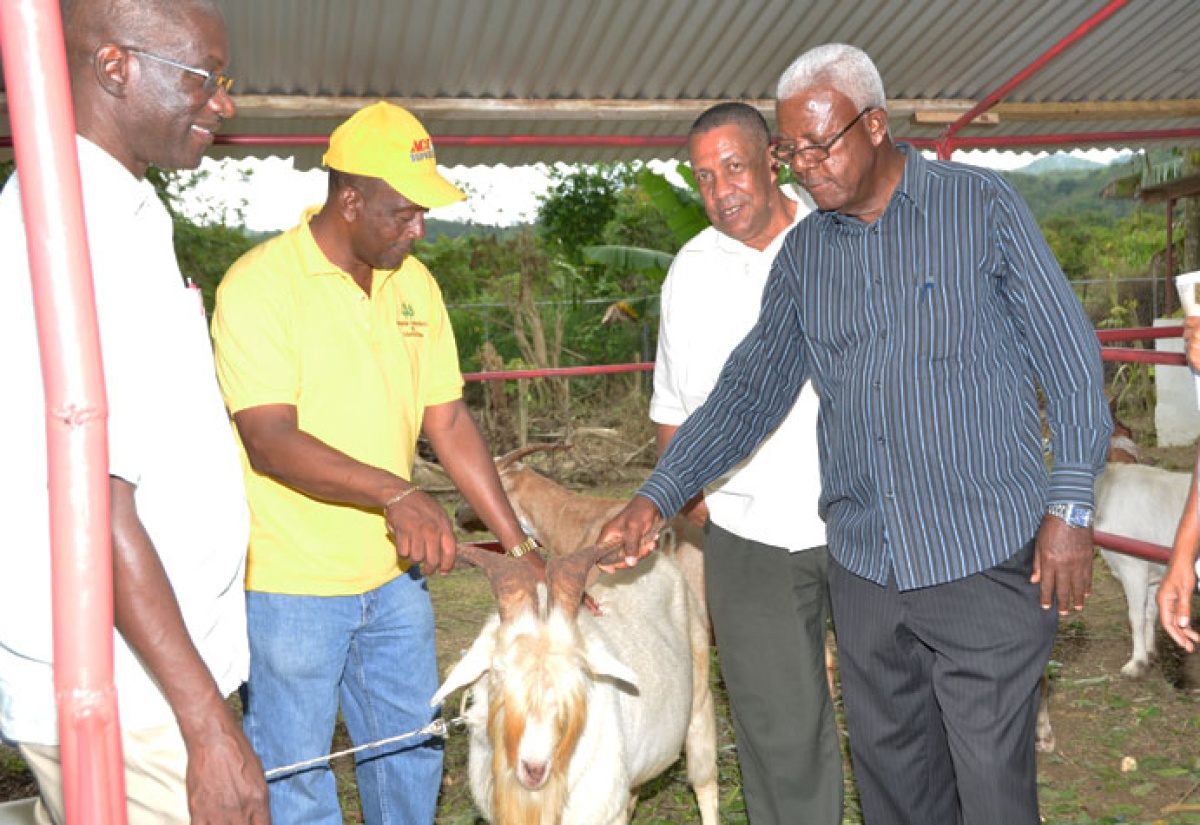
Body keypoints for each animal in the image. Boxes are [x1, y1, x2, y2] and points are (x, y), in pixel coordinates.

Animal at [432, 542, 715, 825]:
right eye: (498, 672)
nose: (534, 769)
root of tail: (659, 558)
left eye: (578, 672)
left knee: (705, 785)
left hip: (700, 703)